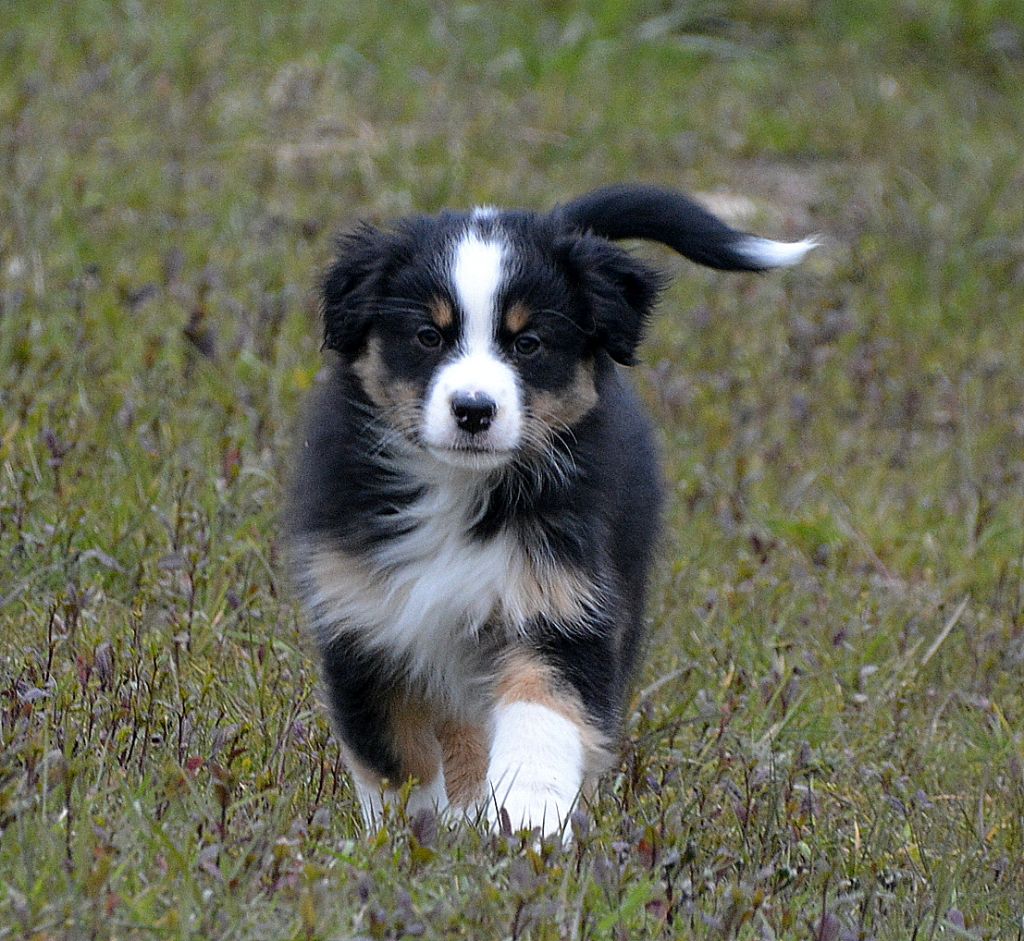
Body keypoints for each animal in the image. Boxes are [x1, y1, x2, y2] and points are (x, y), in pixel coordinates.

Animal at [286, 184, 814, 837]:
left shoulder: (563, 604)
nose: (473, 410)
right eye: (428, 337)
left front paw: (527, 819)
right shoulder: (361, 621)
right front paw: (412, 837)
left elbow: (543, 712)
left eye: (528, 343)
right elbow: (395, 756)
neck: (460, 490)